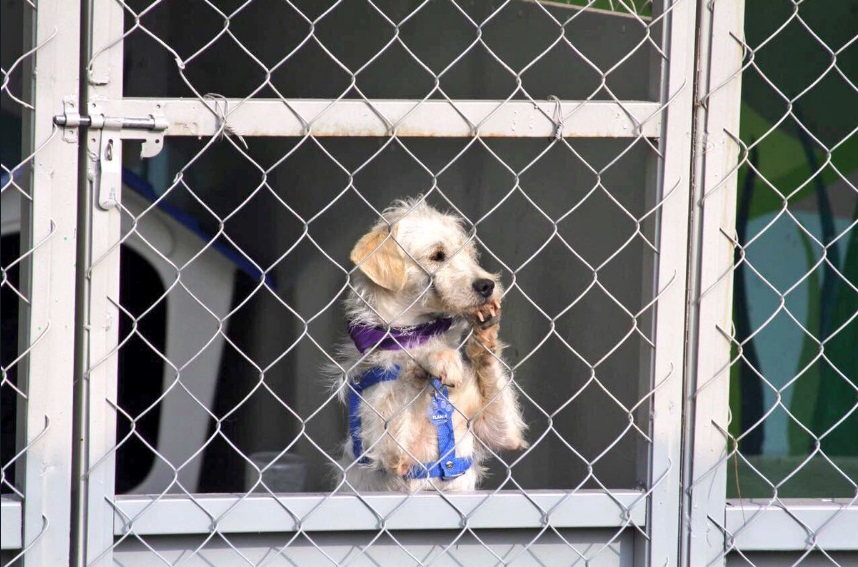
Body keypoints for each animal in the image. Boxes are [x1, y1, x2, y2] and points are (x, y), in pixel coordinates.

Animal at [332, 197, 520, 490]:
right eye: (437, 255)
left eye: (469, 254)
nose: (487, 285)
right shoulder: (388, 448)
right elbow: (409, 373)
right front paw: (434, 357)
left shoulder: (498, 429)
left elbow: (503, 426)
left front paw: (484, 335)